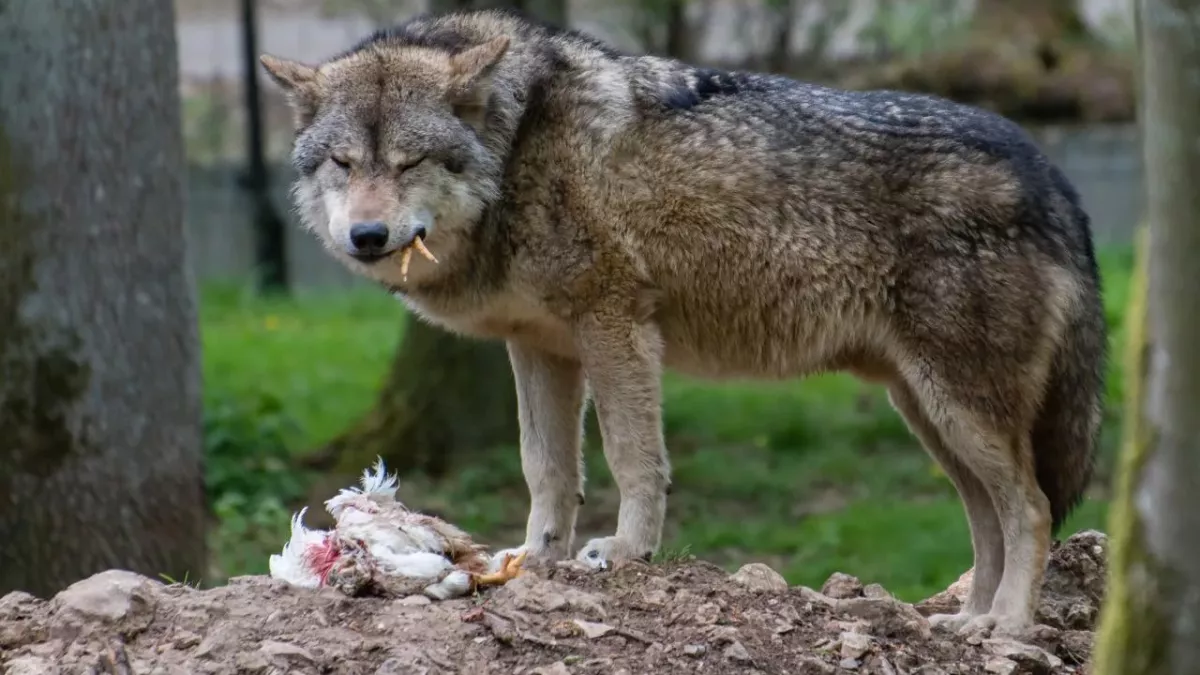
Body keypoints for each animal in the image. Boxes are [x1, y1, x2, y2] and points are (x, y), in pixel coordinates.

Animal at [260, 8, 1107, 637]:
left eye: (409, 163)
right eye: (342, 163)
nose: (367, 236)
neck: (520, 142)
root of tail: (1053, 174)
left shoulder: (616, 324)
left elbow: (633, 459)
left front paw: (627, 551)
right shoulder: (537, 348)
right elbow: (547, 470)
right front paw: (536, 559)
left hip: (958, 409)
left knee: (1031, 508)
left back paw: (1007, 625)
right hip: (929, 414)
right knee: (989, 518)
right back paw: (966, 619)